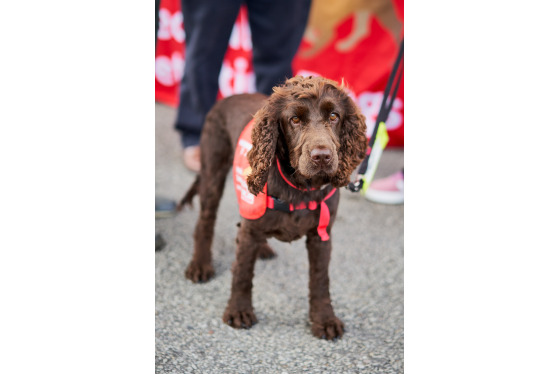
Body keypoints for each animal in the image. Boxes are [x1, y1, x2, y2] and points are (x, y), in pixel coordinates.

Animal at [179, 75, 368, 338]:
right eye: (295, 119)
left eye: (334, 116)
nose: (322, 156)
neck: (301, 188)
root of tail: (228, 97)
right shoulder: (250, 229)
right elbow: (242, 273)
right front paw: (239, 311)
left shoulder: (321, 235)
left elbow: (321, 280)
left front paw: (324, 319)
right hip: (212, 169)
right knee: (206, 220)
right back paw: (200, 265)